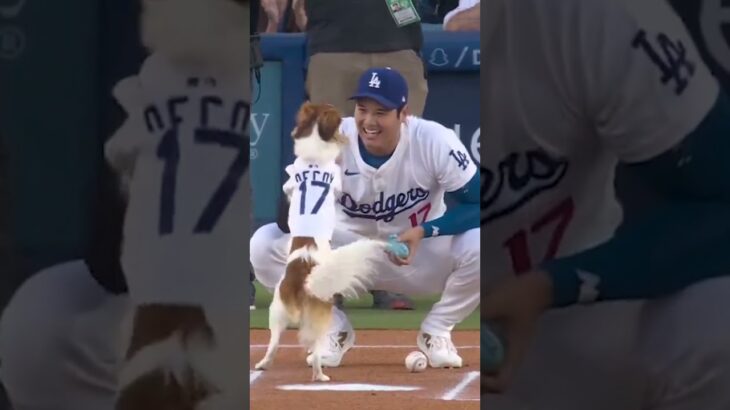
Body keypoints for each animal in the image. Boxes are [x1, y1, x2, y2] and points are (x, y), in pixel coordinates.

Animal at [252, 102, 384, 382]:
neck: (314, 157)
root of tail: (302, 277)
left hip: (276, 310)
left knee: (273, 343)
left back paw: (264, 364)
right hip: (320, 313)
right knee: (314, 348)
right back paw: (320, 375)